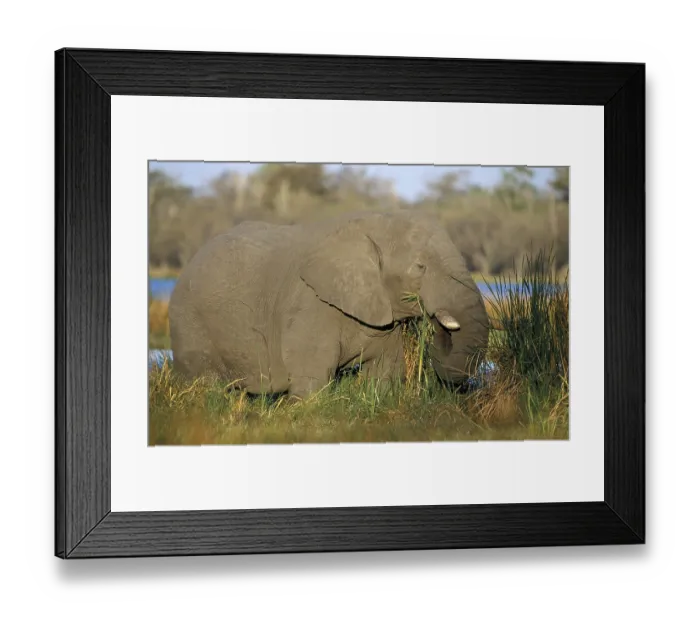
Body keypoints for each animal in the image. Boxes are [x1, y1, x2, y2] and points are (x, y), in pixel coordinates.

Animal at [168, 211, 490, 399]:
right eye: (420, 267)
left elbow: (385, 371)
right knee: (205, 385)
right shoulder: (309, 302)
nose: (435, 322)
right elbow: (312, 374)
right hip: (189, 323)